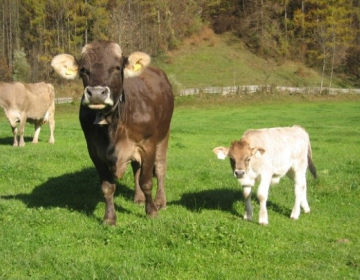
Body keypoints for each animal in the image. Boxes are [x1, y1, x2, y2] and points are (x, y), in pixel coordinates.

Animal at [51, 40, 174, 224]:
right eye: (83, 70)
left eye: (116, 67)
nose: (96, 93)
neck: (112, 125)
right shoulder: (95, 151)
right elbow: (107, 187)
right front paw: (109, 218)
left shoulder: (148, 145)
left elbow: (146, 182)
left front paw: (151, 211)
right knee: (136, 169)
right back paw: (138, 198)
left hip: (164, 134)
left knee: (160, 168)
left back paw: (160, 201)